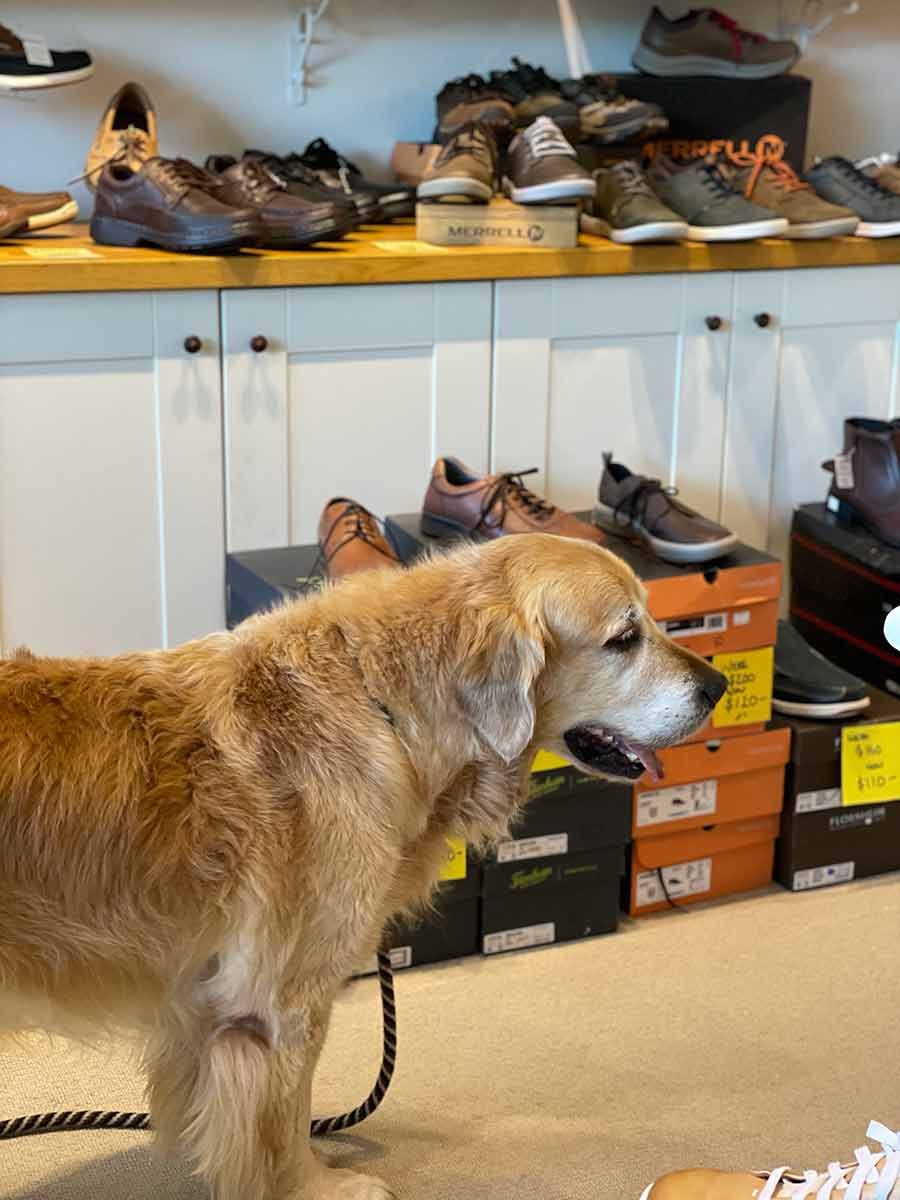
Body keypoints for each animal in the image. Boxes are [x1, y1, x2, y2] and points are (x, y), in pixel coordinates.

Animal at [0, 533, 725, 1200]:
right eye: (624, 637)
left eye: (654, 618)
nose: (718, 685)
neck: (385, 709)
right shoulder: (284, 1004)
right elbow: (282, 1123)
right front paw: (313, 1188)